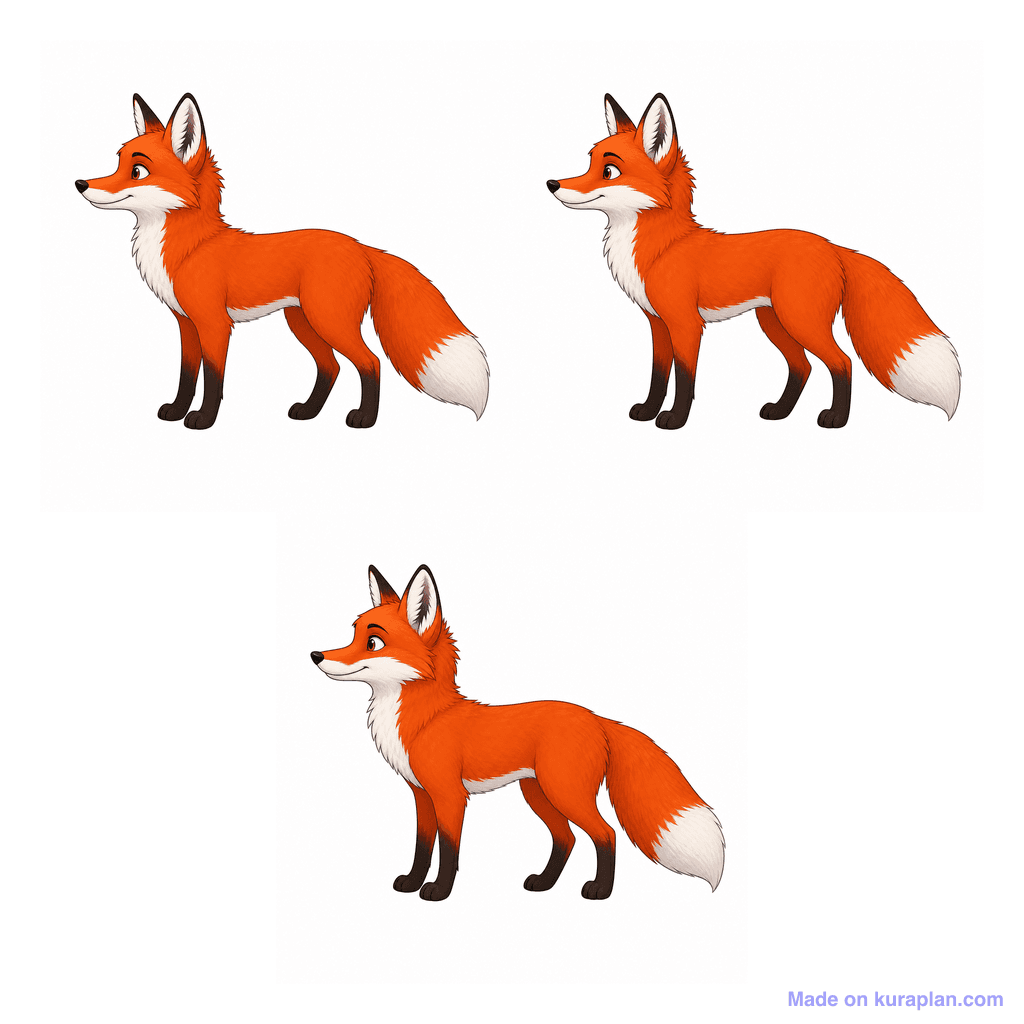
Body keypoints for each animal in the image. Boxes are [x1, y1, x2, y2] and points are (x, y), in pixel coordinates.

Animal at [76, 93, 488, 429]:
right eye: (117, 164)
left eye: (137, 171)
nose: (80, 183)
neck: (190, 247)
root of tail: (361, 246)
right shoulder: (186, 324)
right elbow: (186, 375)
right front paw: (177, 411)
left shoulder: (214, 325)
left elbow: (213, 379)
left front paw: (203, 420)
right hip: (303, 322)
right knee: (331, 366)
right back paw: (308, 411)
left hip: (328, 321)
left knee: (370, 363)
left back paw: (364, 419)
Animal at [310, 564, 725, 902]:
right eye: (352, 635)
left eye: (373, 642)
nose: (316, 655)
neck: (426, 719)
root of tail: (596, 717)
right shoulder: (421, 795)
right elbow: (422, 847)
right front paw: (412, 883)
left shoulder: (450, 796)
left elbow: (448, 850)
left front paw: (439, 891)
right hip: (539, 793)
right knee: (567, 838)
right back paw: (544, 883)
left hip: (564, 792)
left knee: (606, 834)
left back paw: (599, 891)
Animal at [548, 93, 960, 428]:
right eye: (588, 164)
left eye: (609, 171)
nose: (552, 183)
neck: (662, 247)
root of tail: (832, 246)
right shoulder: (658, 324)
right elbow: (658, 375)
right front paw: (648, 411)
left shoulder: (686, 325)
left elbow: (684, 379)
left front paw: (675, 419)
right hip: (775, 322)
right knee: (803, 366)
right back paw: (780, 411)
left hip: (800, 321)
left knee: (841, 363)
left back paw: (835, 419)